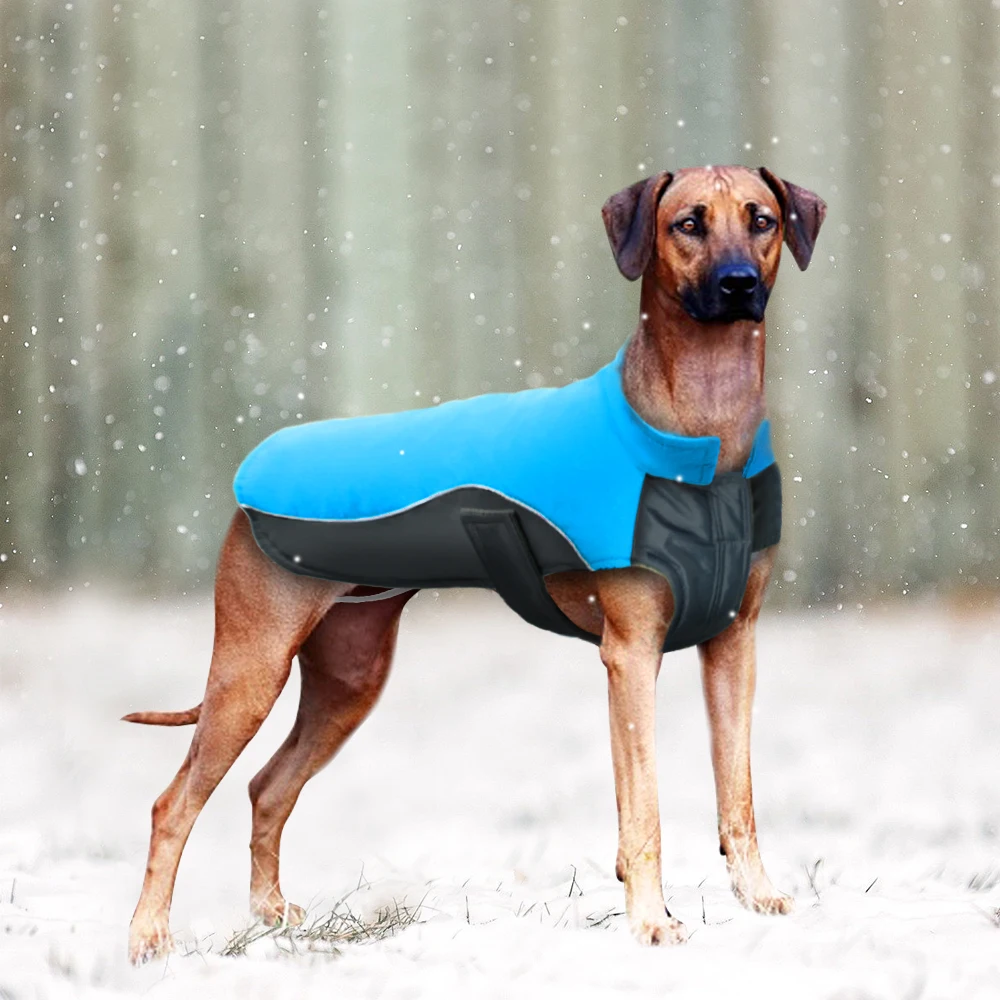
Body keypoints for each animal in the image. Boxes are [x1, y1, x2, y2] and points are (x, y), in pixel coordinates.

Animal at [125, 164, 824, 960]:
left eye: (761, 219)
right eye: (688, 223)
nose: (739, 284)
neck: (704, 432)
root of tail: (244, 490)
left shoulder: (734, 644)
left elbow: (738, 792)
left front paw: (758, 895)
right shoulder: (631, 653)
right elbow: (643, 805)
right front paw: (651, 920)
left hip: (349, 679)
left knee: (267, 787)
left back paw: (270, 913)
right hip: (251, 669)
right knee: (173, 803)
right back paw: (148, 936)